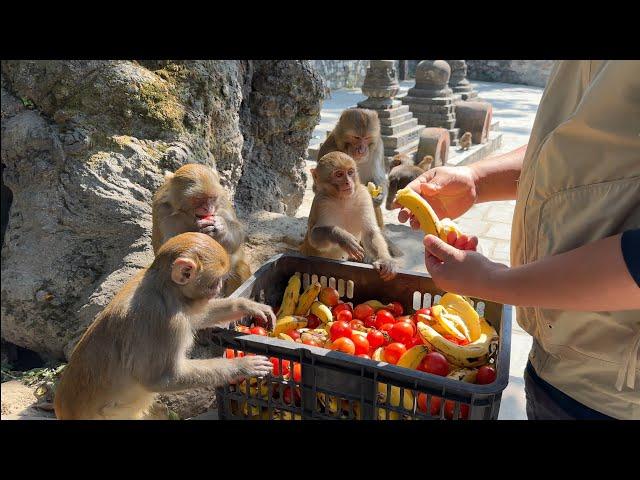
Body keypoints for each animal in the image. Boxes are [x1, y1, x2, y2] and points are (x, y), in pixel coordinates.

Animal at [53, 231, 274, 418]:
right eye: (215, 282)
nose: (219, 288)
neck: (164, 288)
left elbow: (196, 316)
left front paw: (247, 305)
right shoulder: (164, 323)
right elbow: (161, 379)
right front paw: (243, 366)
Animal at [152, 163, 250, 296]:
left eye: (212, 198)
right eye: (198, 199)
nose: (208, 208)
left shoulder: (222, 199)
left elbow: (237, 234)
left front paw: (221, 228)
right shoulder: (162, 210)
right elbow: (166, 249)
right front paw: (199, 231)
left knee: (240, 267)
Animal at [298, 152, 396, 282]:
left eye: (350, 172)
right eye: (339, 174)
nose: (348, 183)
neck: (343, 200)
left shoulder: (364, 195)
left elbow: (370, 232)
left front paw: (385, 261)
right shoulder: (321, 202)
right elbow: (313, 237)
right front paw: (342, 237)